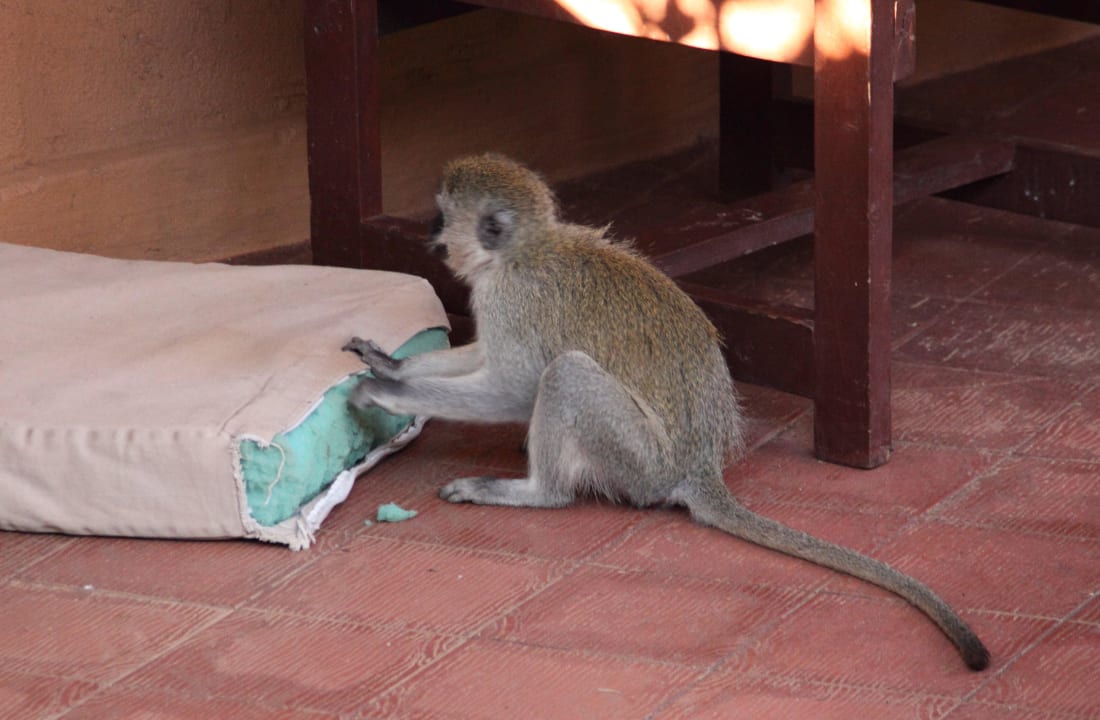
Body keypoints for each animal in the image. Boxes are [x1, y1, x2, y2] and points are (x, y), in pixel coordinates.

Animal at [343, 153, 990, 672]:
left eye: (441, 216)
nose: (429, 235)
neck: (525, 250)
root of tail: (698, 467)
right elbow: (481, 358)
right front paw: (392, 365)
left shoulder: (513, 298)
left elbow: (514, 385)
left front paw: (389, 394)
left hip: (637, 460)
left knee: (566, 375)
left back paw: (534, 492)